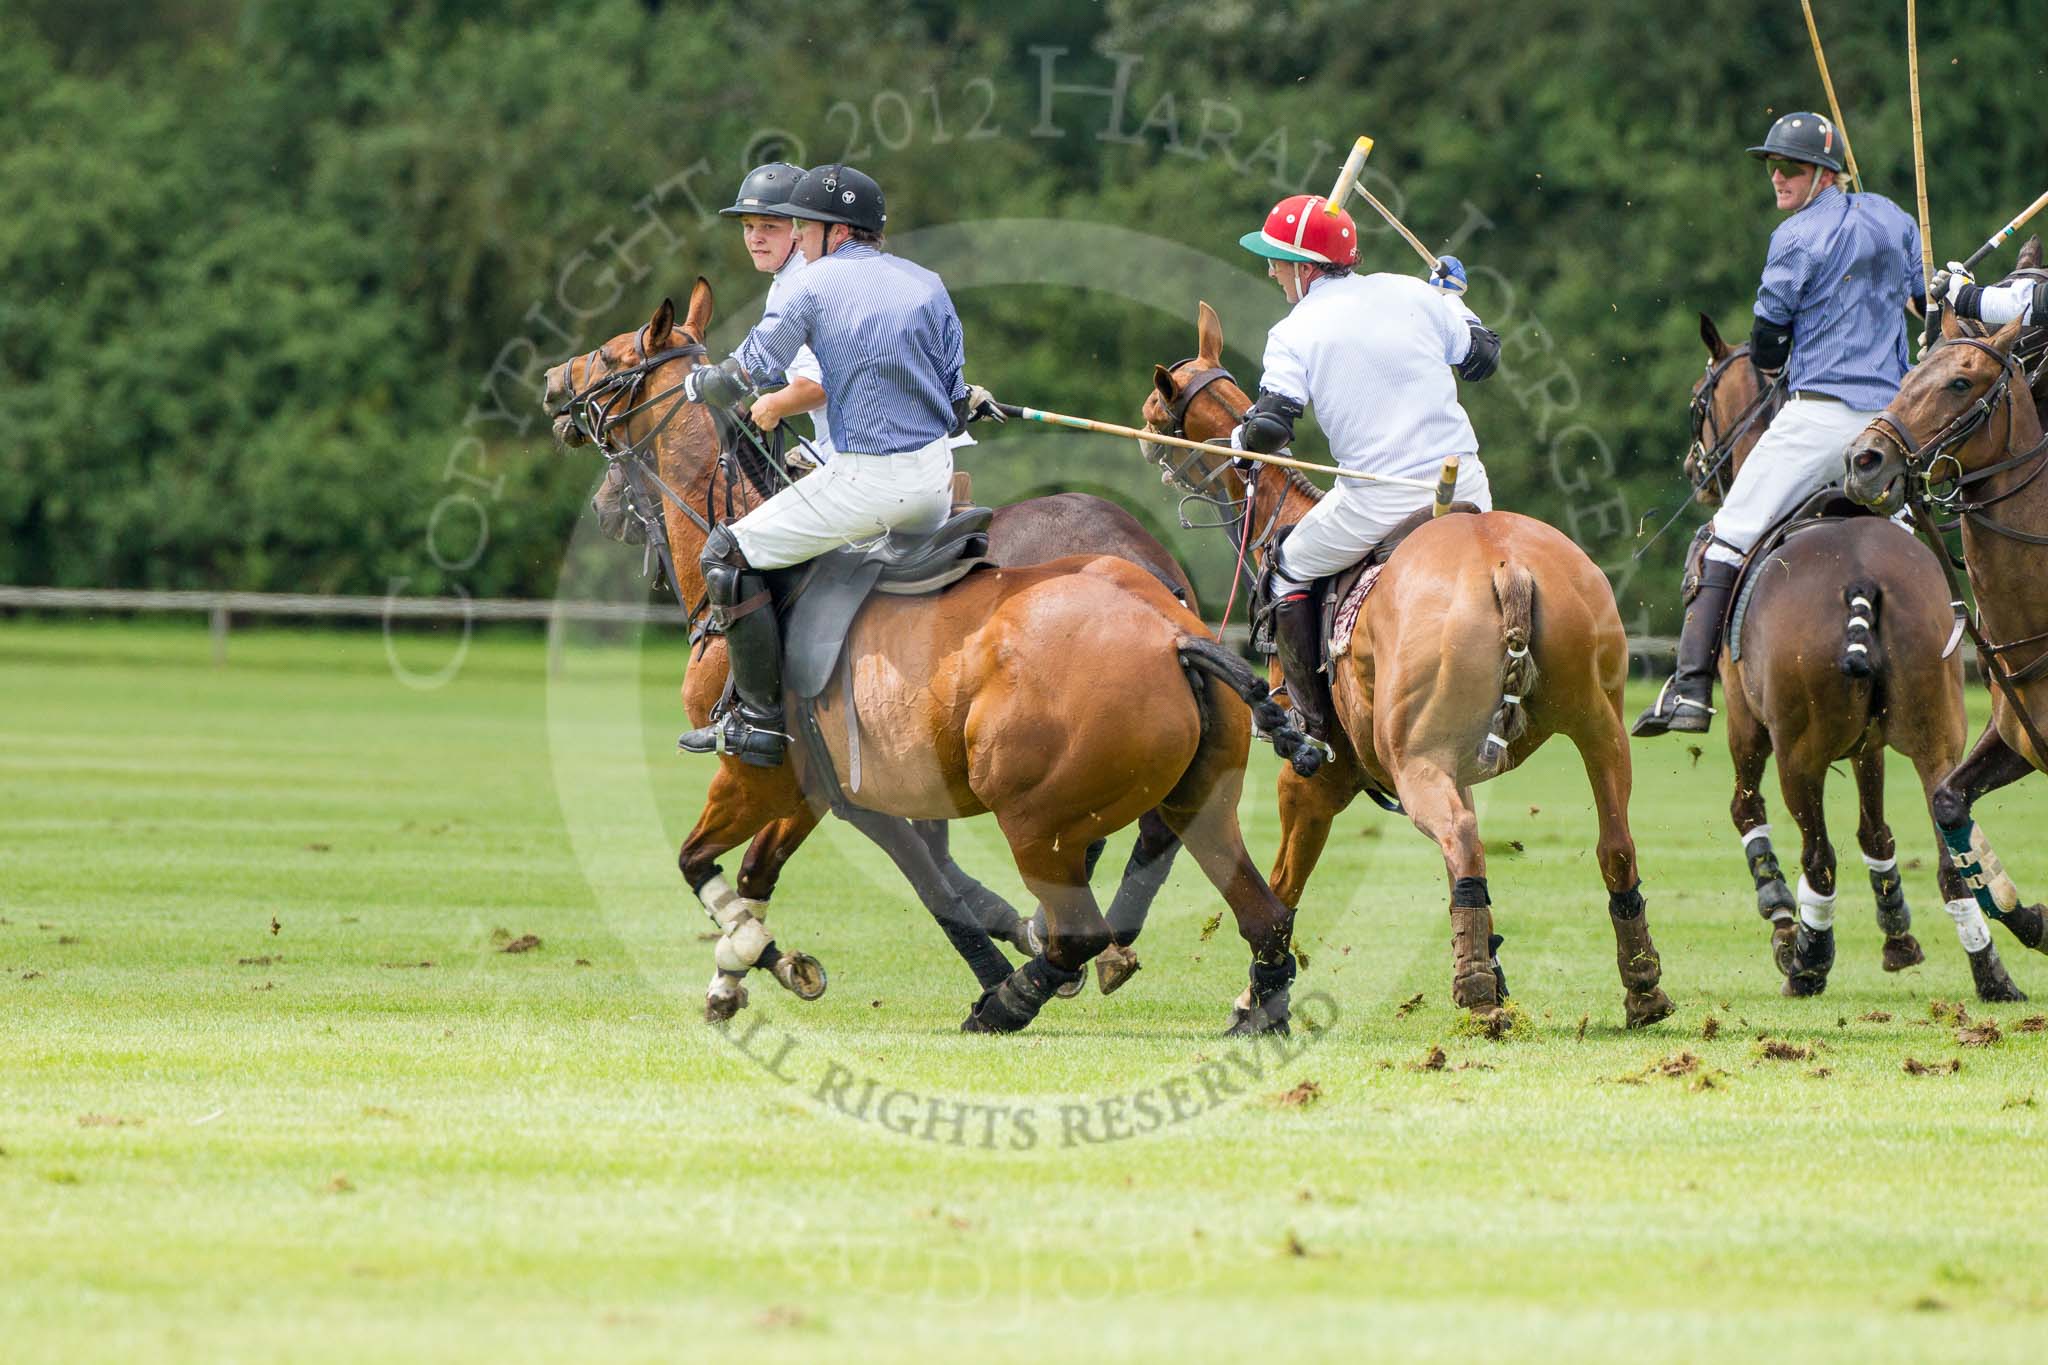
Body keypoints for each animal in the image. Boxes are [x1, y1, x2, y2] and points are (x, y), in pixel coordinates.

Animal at [548, 286, 1310, 1035]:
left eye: (613, 356)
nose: (556, 383)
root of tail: (1173, 635)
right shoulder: (826, 788)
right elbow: (769, 871)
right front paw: (740, 976)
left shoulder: (762, 775)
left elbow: (713, 862)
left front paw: (761, 955)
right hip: (1199, 796)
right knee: (1258, 913)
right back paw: (1250, 1008)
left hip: (1031, 814)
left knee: (1081, 926)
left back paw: (1015, 997)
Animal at [1146, 298, 1671, 1023]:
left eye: (1156, 407)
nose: (1145, 436)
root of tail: (1506, 566)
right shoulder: (1460, 761)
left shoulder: (1317, 777)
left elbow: (1282, 883)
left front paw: (1256, 998)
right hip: (1599, 724)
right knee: (1612, 845)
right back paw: (1641, 988)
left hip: (1414, 756)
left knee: (1463, 838)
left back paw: (1475, 992)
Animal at [1687, 315, 2023, 1002]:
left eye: (1698, 404)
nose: (1691, 469)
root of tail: (1860, 577)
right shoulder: (1870, 741)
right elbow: (1877, 830)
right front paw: (1897, 932)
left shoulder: (1746, 721)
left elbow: (1747, 811)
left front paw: (1782, 922)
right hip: (1936, 730)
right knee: (1950, 850)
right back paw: (1992, 973)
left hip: (1799, 750)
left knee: (1818, 855)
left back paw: (1808, 961)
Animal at [1843, 304, 2048, 965]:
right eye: (1911, 371)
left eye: (1961, 382)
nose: (1863, 461)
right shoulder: (2015, 738)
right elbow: (1947, 800)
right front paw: (2028, 916)